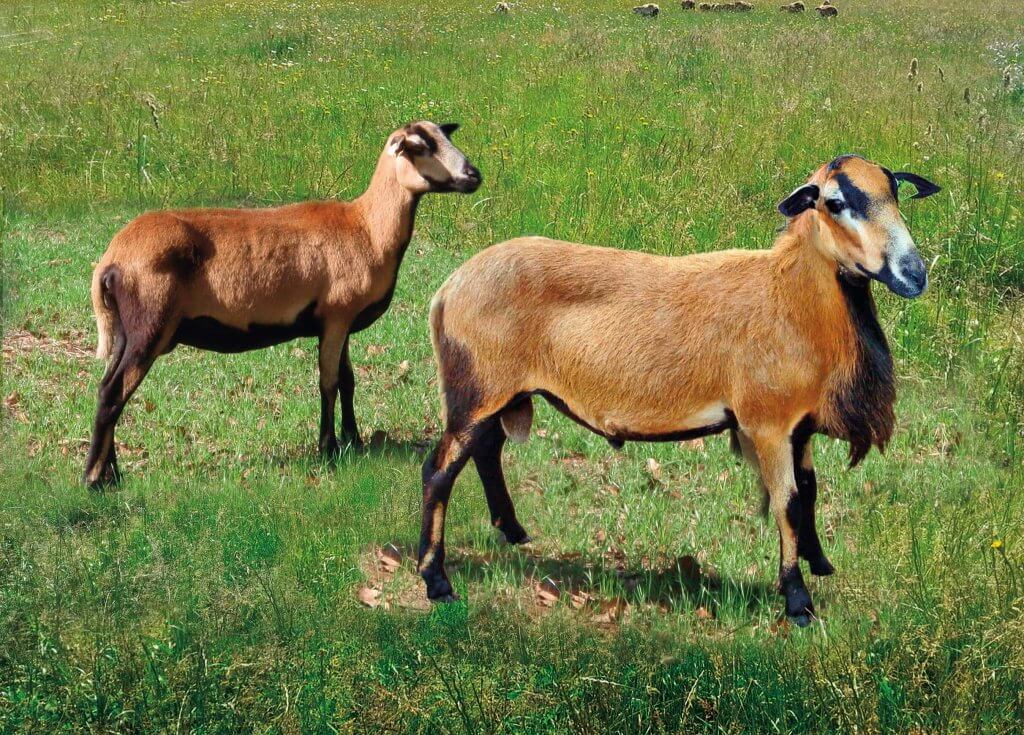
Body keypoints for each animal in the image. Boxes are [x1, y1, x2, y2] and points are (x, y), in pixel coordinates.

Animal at [413, 155, 937, 626]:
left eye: (895, 192)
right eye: (835, 202)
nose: (914, 274)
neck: (790, 295)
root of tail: (448, 290)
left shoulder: (798, 426)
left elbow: (808, 491)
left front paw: (820, 563)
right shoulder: (765, 421)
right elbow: (786, 502)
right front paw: (797, 601)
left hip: (498, 393)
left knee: (486, 452)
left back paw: (512, 531)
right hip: (476, 387)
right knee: (438, 471)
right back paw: (436, 580)